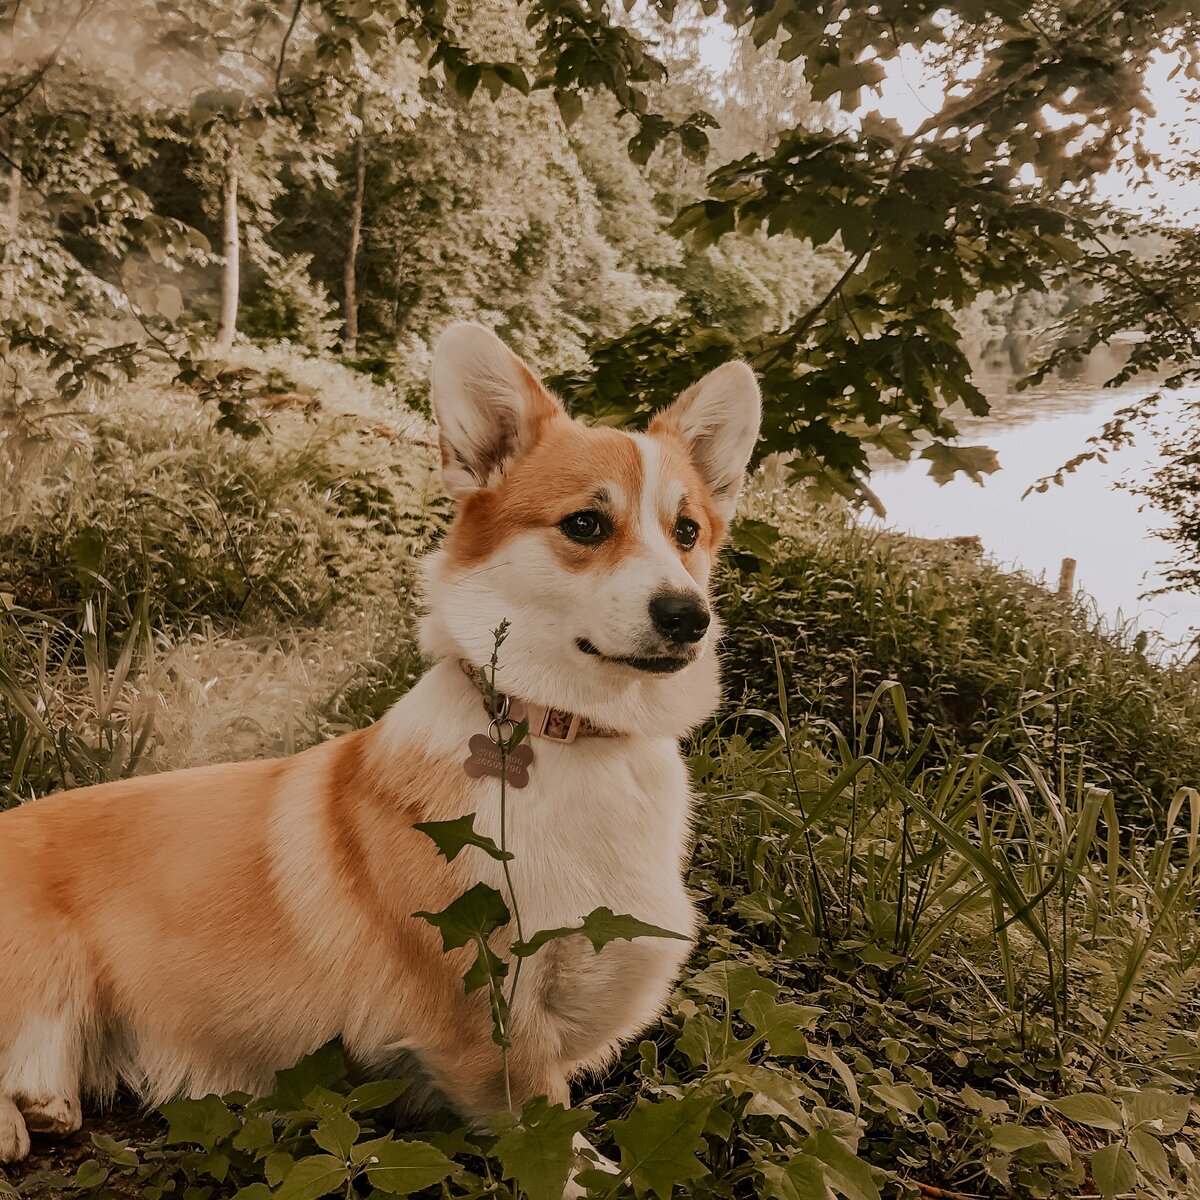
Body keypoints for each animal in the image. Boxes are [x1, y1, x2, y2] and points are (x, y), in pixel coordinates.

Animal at [0, 324, 758, 1166]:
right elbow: (560, 1147)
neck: (572, 735)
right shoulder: (488, 1031)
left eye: (687, 532)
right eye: (586, 526)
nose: (689, 618)